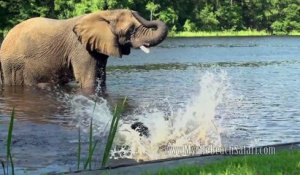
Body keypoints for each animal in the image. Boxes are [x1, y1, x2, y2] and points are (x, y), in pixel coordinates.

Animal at [0, 9, 168, 89]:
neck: (105, 13)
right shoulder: (81, 49)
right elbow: (88, 81)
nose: (133, 11)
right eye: (130, 30)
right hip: (14, 65)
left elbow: (101, 79)